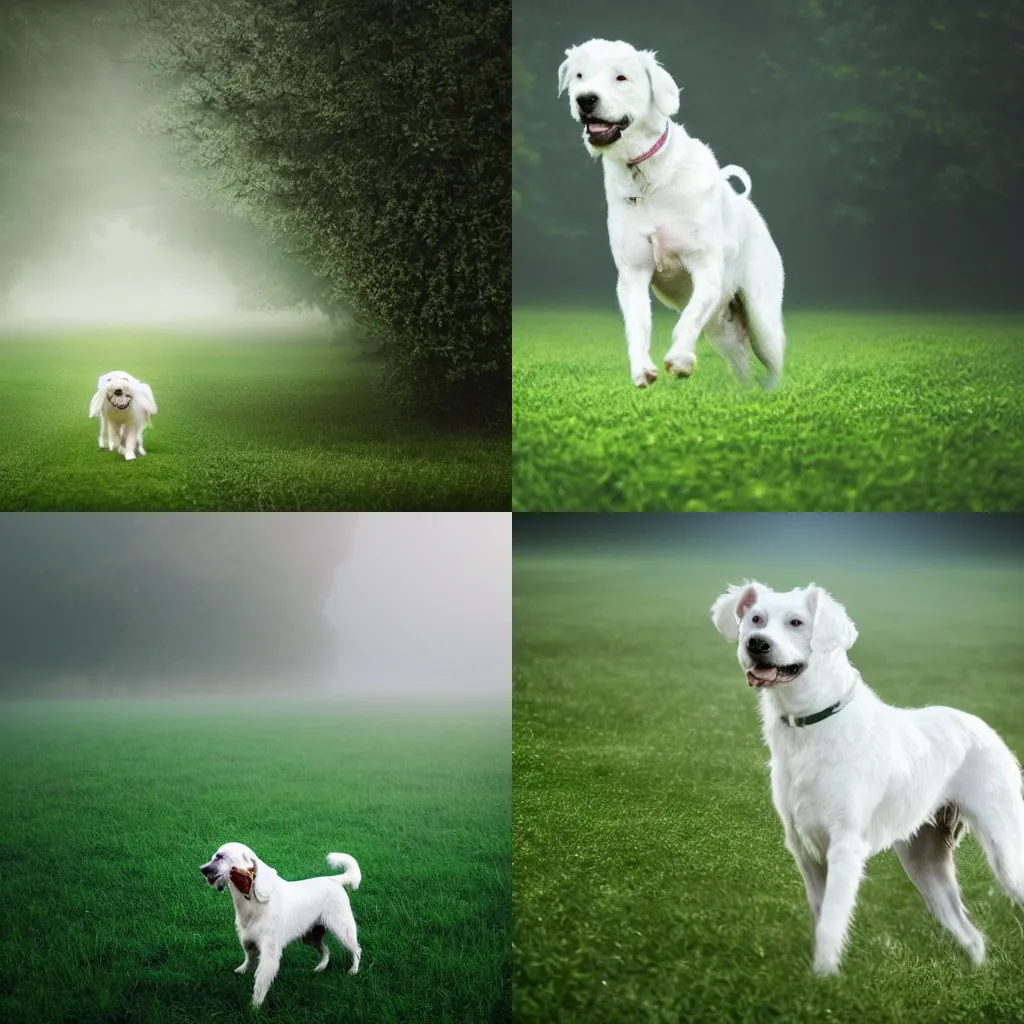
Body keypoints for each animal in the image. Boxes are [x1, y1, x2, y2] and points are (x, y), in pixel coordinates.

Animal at [197, 839, 362, 1007]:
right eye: (213, 857)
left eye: (220, 857)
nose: (202, 869)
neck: (252, 905)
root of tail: (333, 879)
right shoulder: (248, 940)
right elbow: (248, 957)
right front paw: (242, 970)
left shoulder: (269, 952)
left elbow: (261, 982)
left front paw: (255, 1006)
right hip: (311, 936)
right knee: (327, 950)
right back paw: (321, 967)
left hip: (344, 930)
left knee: (357, 949)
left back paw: (353, 970)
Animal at [561, 38, 782, 387]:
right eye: (580, 76)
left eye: (621, 77)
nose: (585, 99)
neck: (649, 177)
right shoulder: (633, 273)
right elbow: (637, 326)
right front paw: (642, 369)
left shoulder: (706, 266)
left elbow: (688, 318)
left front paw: (679, 360)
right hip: (723, 332)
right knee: (742, 367)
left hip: (763, 321)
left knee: (773, 366)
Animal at [712, 585, 1024, 974]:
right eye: (756, 619)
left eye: (796, 622)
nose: (756, 643)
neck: (810, 725)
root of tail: (982, 726)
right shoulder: (804, 849)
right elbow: (819, 914)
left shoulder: (845, 846)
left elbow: (831, 923)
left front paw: (824, 979)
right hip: (925, 862)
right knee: (971, 934)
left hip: (1006, 854)